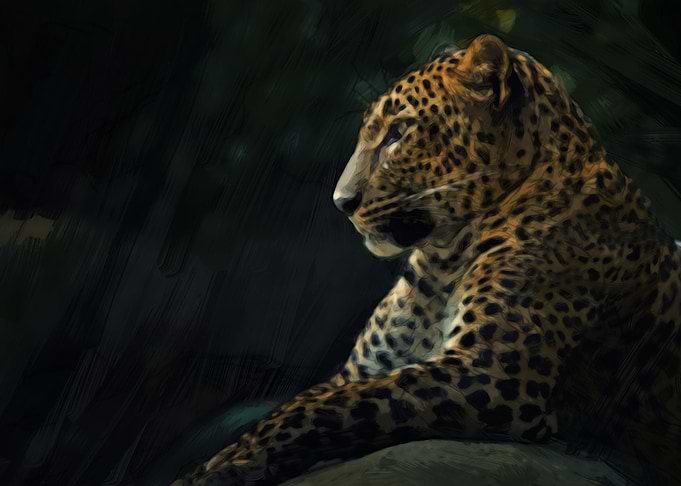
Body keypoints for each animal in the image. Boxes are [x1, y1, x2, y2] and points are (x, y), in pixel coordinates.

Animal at [176, 35, 681, 485]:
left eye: (398, 134)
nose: (341, 202)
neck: (442, 263)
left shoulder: (489, 374)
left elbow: (329, 408)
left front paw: (226, 469)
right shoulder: (358, 370)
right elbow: (292, 407)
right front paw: (214, 464)